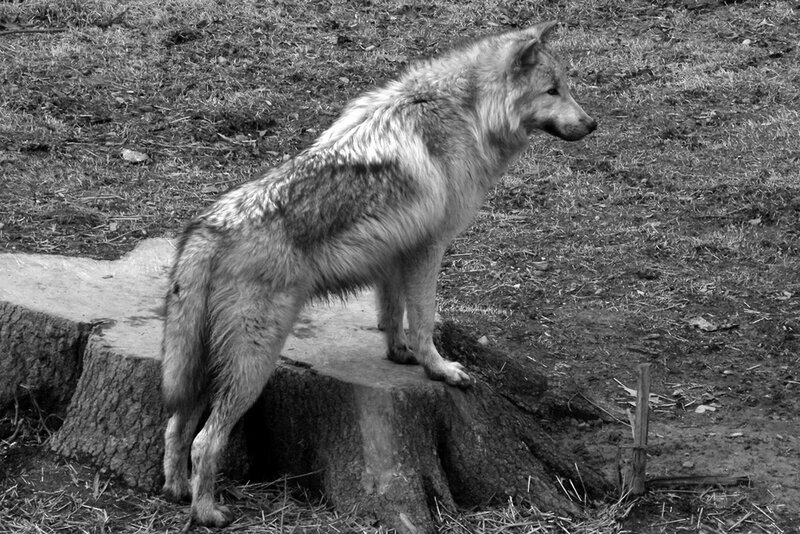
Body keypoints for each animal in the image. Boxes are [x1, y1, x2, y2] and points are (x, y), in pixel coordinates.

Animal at [161, 20, 596, 526]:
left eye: (566, 87)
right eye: (553, 90)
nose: (592, 124)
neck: (468, 112)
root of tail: (207, 228)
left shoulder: (396, 256)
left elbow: (392, 314)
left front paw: (399, 354)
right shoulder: (429, 248)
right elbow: (424, 320)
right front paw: (441, 370)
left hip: (201, 368)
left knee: (175, 426)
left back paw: (175, 490)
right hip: (252, 366)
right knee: (204, 441)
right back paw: (207, 512)